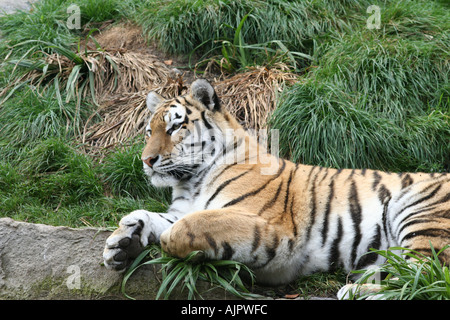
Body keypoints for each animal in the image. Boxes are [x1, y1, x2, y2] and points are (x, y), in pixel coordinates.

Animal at [103, 78, 450, 298]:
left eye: (175, 127)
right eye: (149, 130)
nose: (147, 160)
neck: (191, 181)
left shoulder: (275, 232)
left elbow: (186, 228)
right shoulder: (182, 209)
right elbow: (151, 216)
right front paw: (121, 243)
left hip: (419, 212)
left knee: (426, 278)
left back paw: (355, 290)